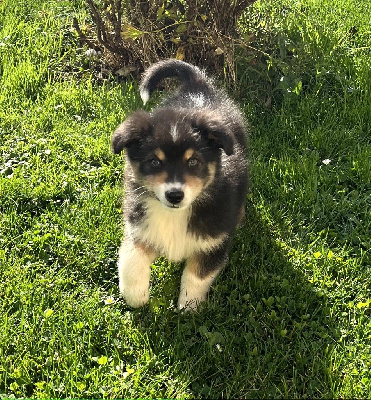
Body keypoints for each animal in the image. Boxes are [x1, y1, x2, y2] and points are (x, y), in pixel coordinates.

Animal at [112, 59, 248, 310]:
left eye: (193, 161)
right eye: (155, 162)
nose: (175, 195)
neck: (175, 215)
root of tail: (198, 86)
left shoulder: (213, 243)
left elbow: (196, 276)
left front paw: (188, 307)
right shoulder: (141, 228)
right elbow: (131, 259)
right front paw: (136, 298)